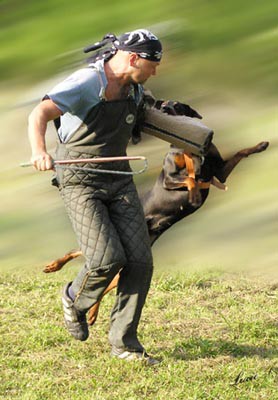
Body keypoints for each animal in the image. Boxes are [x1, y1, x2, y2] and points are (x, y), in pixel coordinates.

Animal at [44, 100, 270, 324]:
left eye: (177, 105)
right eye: (163, 105)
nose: (164, 109)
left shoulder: (219, 173)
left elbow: (241, 152)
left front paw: (261, 146)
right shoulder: (169, 178)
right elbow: (189, 178)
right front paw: (194, 195)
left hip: (135, 255)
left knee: (110, 282)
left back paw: (91, 313)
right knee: (76, 253)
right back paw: (54, 266)